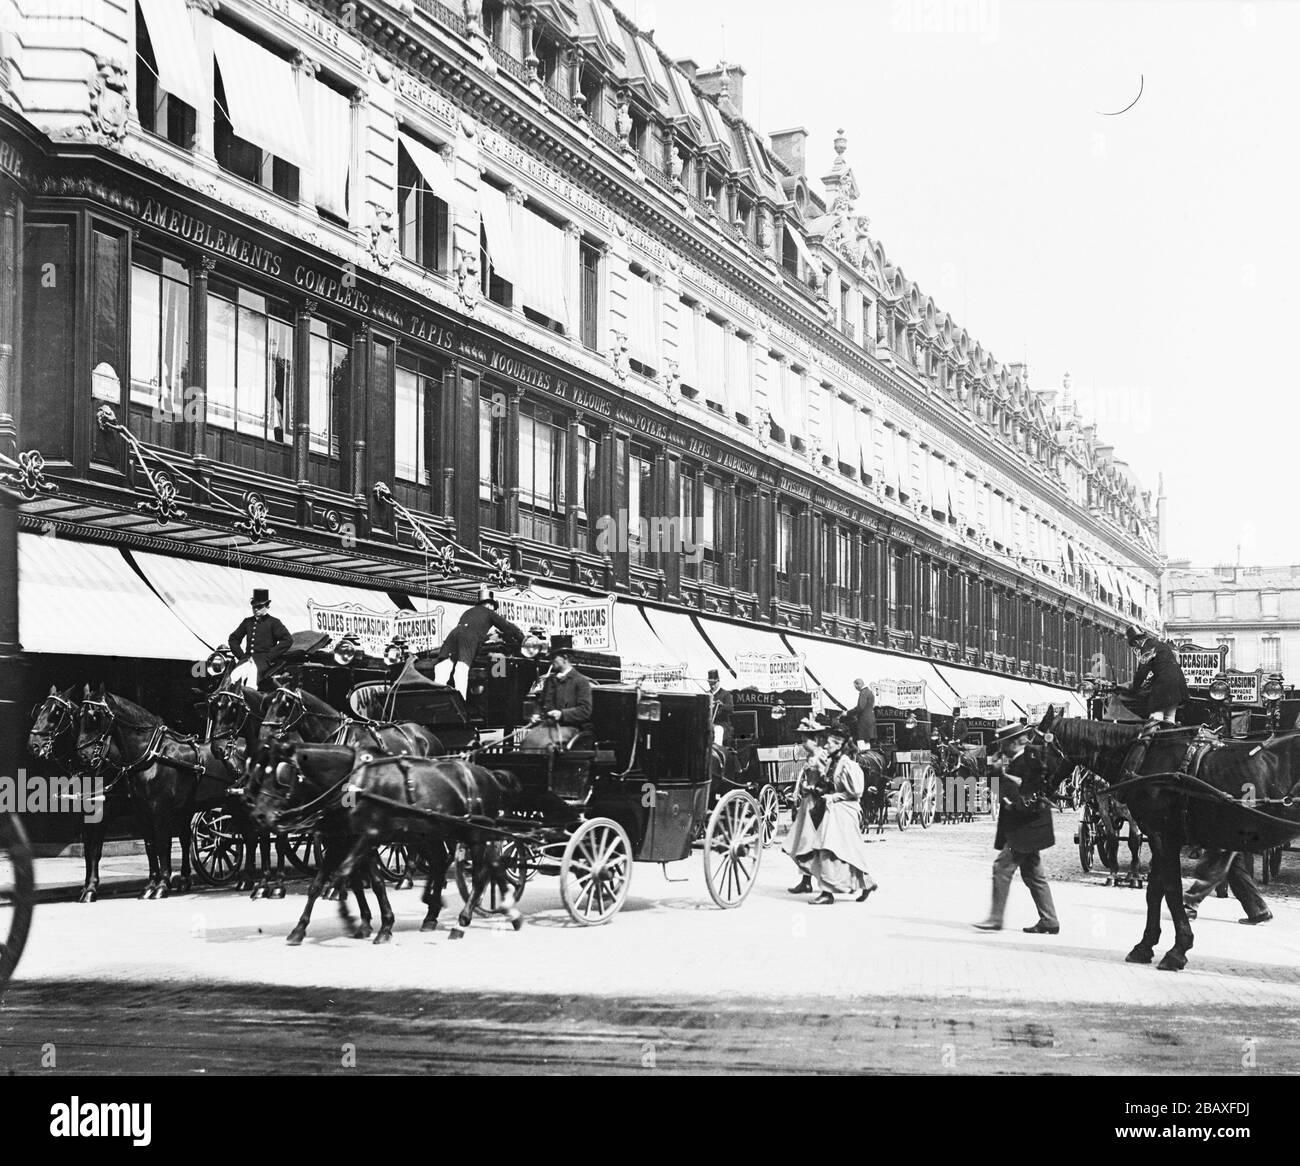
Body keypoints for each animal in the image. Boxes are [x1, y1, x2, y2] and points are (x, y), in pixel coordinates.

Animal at [1040, 712, 1300, 967]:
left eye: (1033, 747)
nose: (1037, 796)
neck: (1143, 753)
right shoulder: (1158, 837)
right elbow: (1154, 891)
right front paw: (1145, 946)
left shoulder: (1163, 838)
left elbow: (1171, 891)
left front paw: (1177, 950)